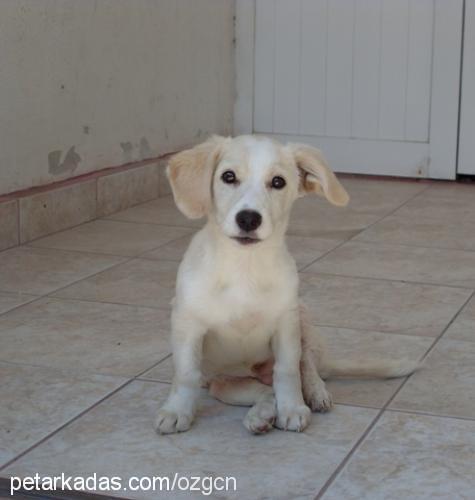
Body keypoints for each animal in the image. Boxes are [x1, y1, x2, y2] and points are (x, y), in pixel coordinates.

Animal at [156, 136, 420, 434]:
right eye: (228, 176)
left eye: (278, 182)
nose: (249, 218)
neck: (244, 266)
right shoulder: (188, 323)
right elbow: (186, 373)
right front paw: (176, 411)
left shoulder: (286, 324)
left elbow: (288, 370)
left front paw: (292, 408)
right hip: (222, 384)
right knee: (263, 391)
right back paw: (261, 415)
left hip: (302, 317)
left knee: (306, 366)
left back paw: (315, 393)